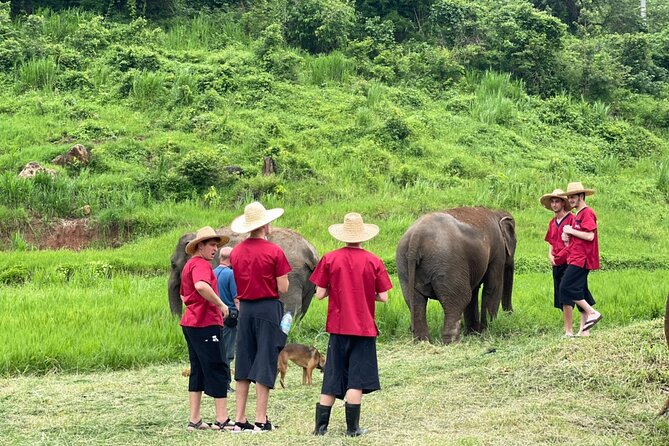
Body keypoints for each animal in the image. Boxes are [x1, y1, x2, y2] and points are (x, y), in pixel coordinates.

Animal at [396, 207, 516, 344]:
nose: (511, 314)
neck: (496, 212)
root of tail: (416, 237)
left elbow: (475, 290)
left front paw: (473, 333)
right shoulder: (498, 250)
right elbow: (492, 287)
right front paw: (486, 332)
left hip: (403, 265)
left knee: (415, 302)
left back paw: (424, 342)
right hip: (448, 263)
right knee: (459, 299)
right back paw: (453, 342)